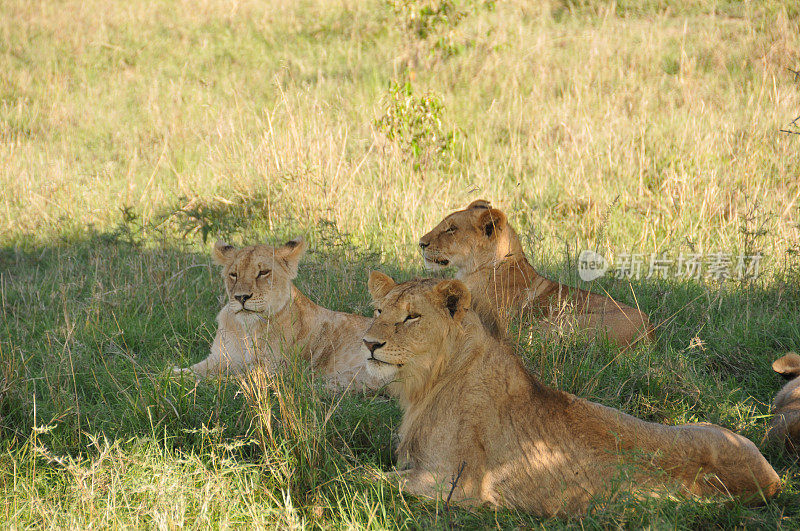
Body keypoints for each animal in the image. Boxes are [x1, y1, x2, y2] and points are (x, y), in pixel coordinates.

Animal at [364, 270, 780, 516]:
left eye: (412, 316)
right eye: (379, 310)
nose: (368, 343)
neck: (428, 382)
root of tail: (773, 481)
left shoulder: (456, 487)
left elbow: (362, 476)